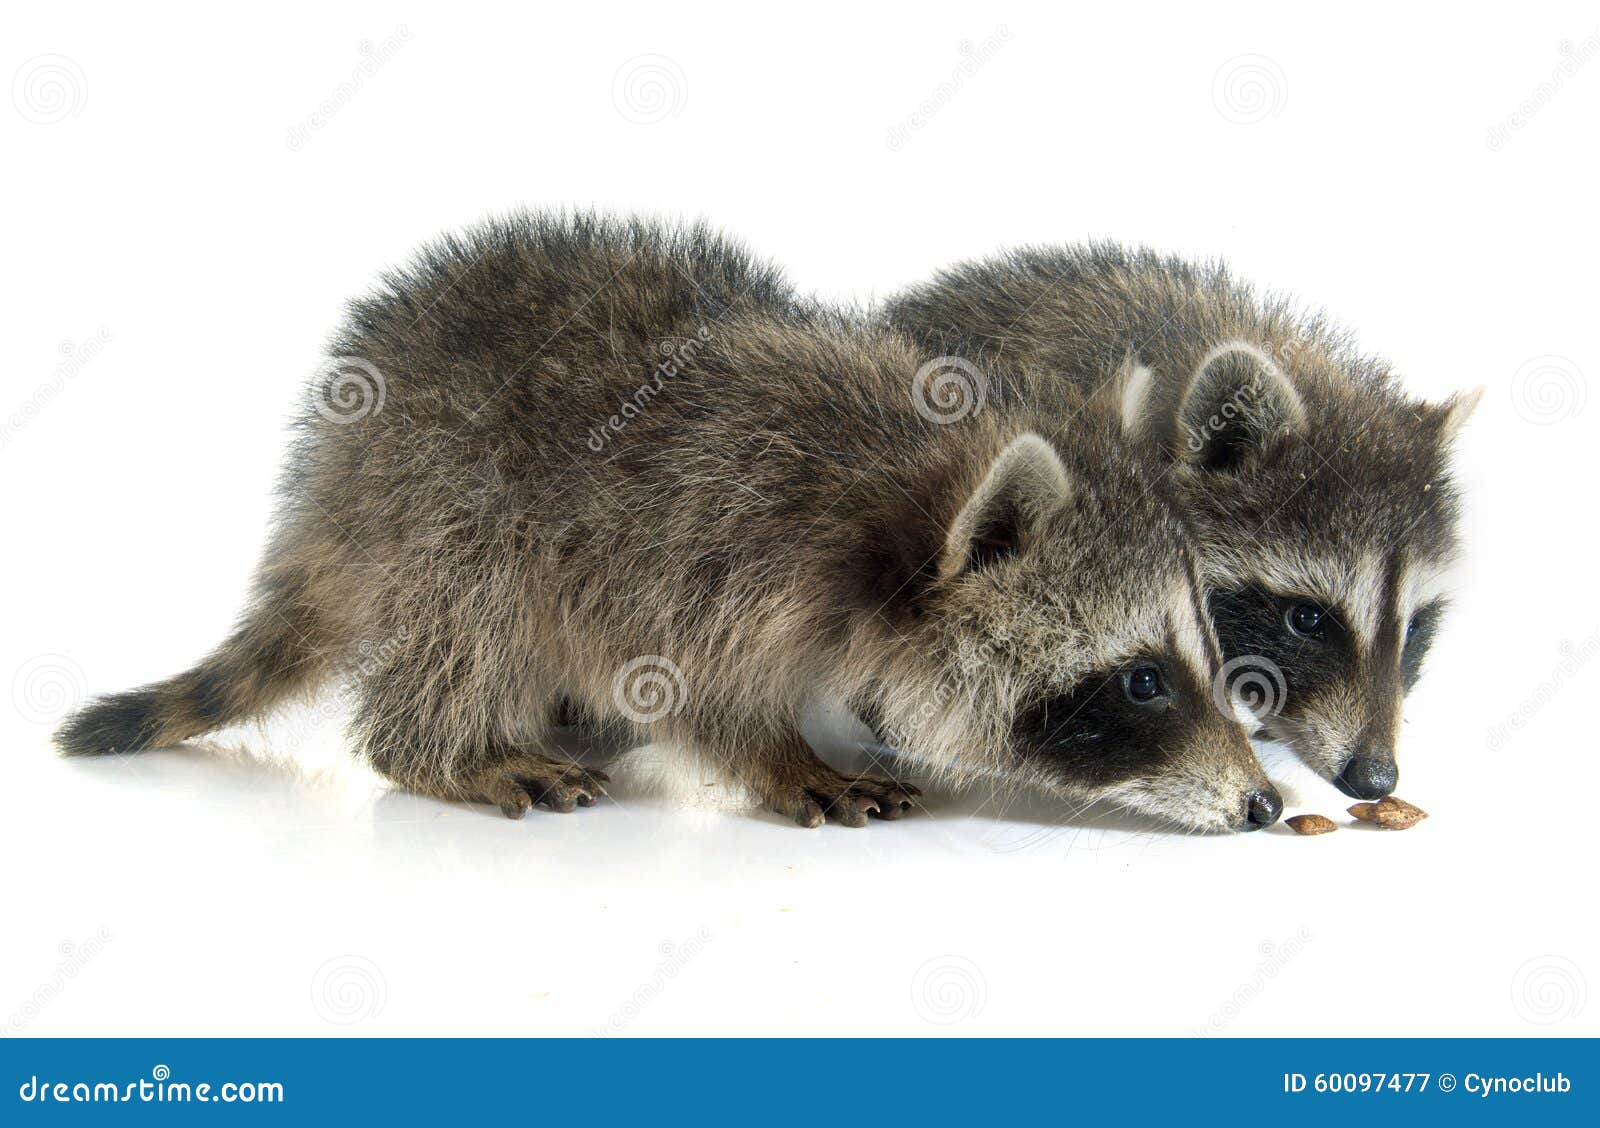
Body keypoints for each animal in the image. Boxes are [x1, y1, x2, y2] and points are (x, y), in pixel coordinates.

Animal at [57, 215, 1279, 832]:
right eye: (1141, 681)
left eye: (1208, 647)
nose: (1268, 802)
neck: (906, 489)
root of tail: (328, 485)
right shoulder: (692, 541)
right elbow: (689, 686)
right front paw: (781, 754)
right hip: (447, 492)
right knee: (471, 611)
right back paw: (445, 746)